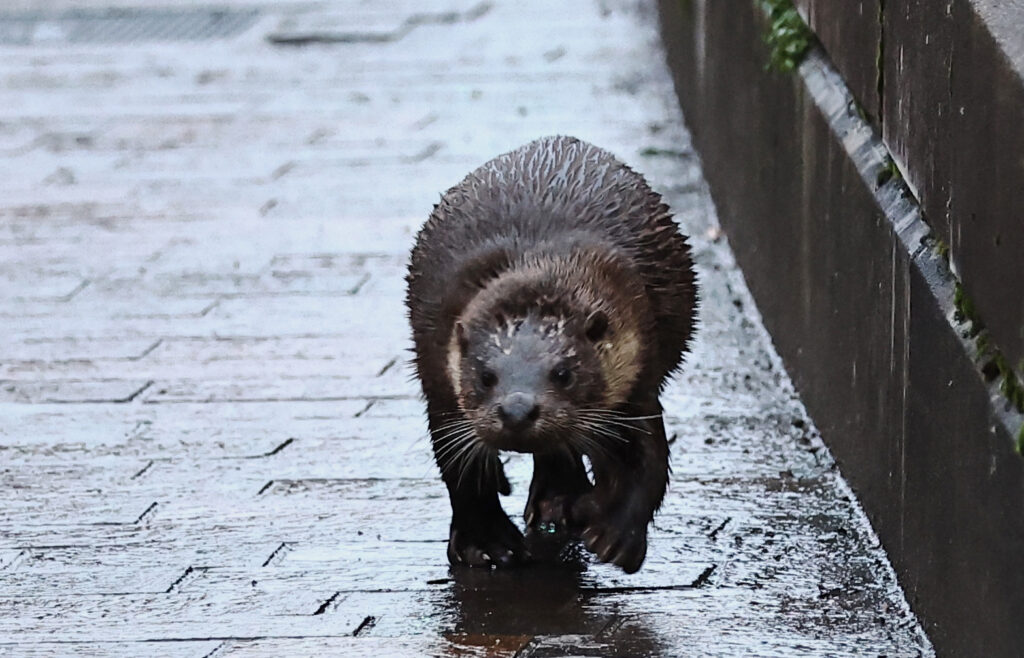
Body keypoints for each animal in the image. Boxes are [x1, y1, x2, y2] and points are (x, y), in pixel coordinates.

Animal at [405, 136, 697, 573]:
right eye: (486, 376)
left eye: (563, 373)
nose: (517, 409)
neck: (542, 261)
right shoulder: (439, 379)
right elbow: (461, 471)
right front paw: (487, 544)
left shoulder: (637, 382)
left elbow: (648, 463)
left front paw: (616, 533)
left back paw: (560, 503)